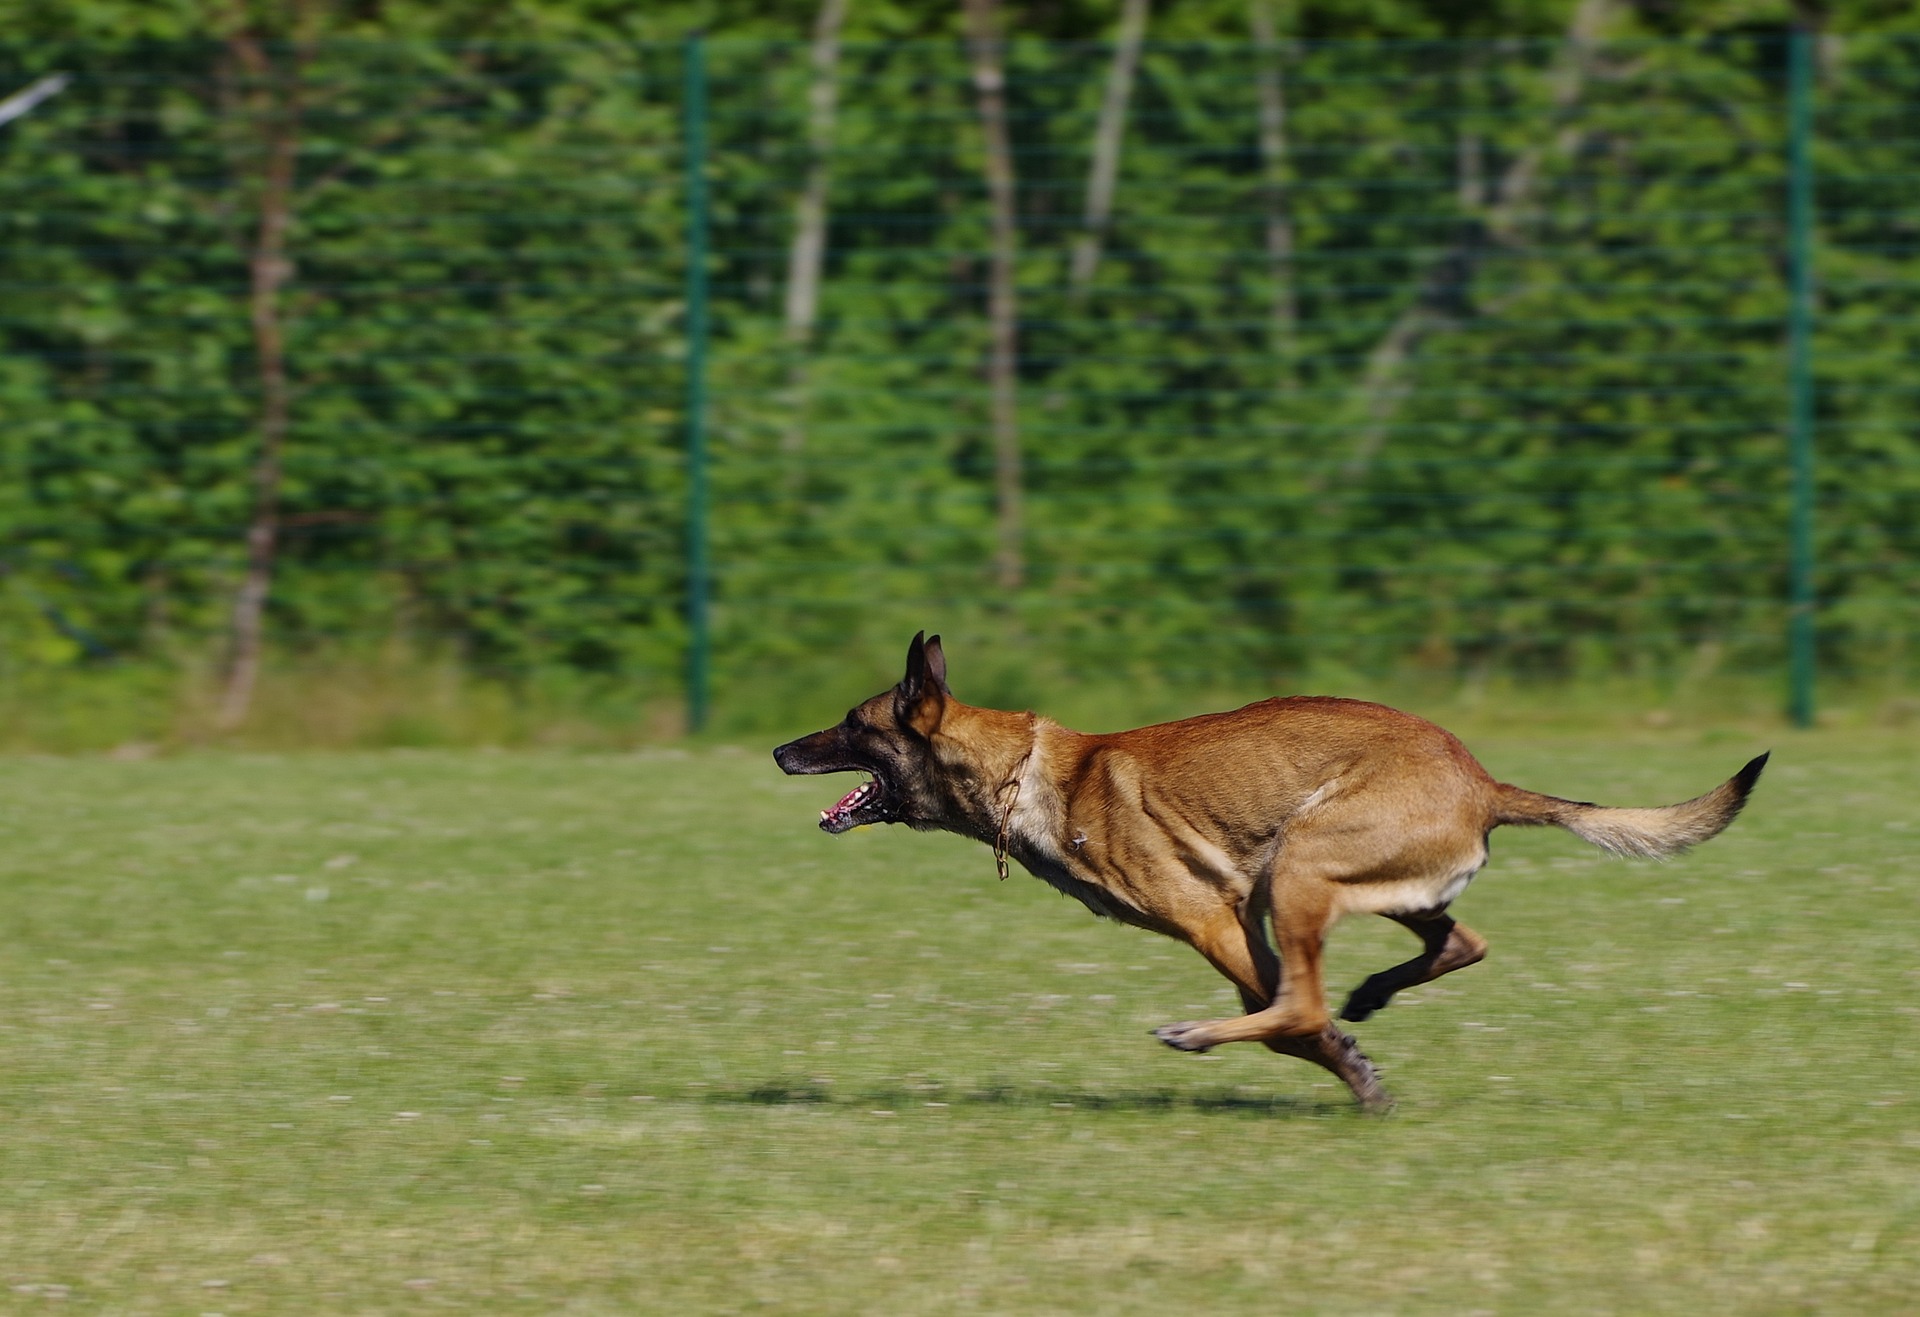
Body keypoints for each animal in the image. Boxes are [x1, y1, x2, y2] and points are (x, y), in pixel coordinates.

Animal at [771, 633, 1758, 1105]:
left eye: (852, 723)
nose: (781, 749)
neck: (1029, 770)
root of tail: (1483, 781)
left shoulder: (1213, 920)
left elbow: (1290, 1019)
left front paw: (1349, 1071)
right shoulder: (1243, 925)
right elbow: (1290, 1011)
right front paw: (1355, 1060)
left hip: (1302, 866)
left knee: (1310, 1001)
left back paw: (1208, 1033)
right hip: (1360, 885)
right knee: (1457, 941)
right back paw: (1371, 996)